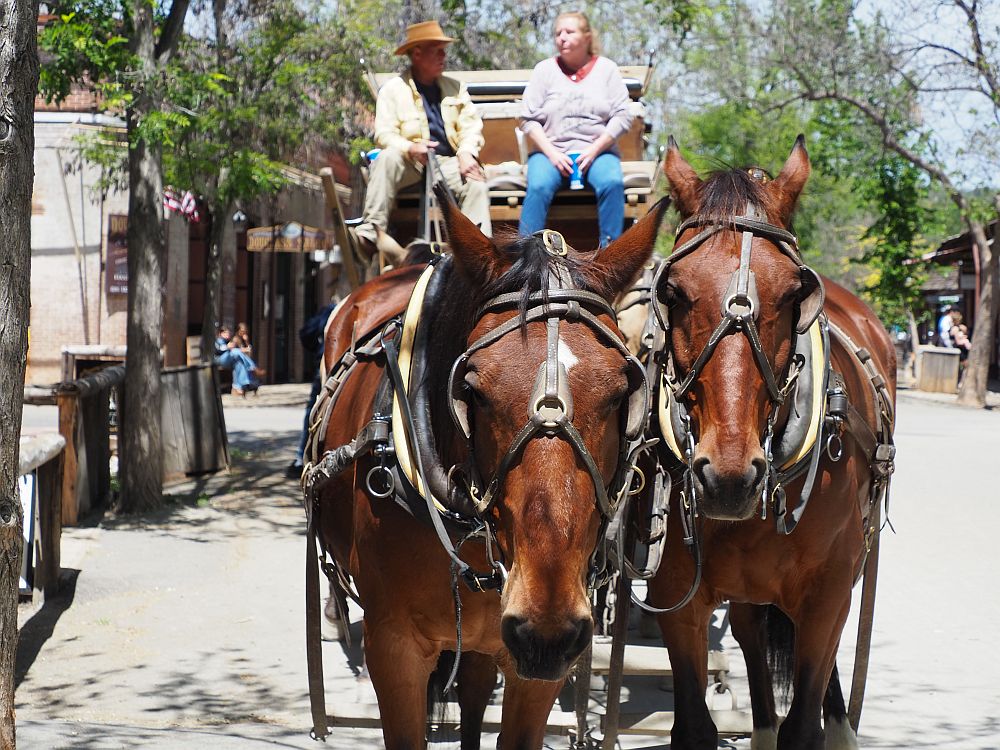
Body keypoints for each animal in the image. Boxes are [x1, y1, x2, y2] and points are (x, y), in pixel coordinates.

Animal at [310, 191, 672, 748]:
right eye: (473, 389)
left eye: (620, 392)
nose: (546, 630)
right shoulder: (393, 650)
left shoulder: (534, 665)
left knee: (476, 689)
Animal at [644, 138, 896, 748]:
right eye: (674, 292)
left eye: (792, 293)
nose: (728, 478)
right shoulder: (678, 602)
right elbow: (694, 725)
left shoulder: (827, 597)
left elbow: (804, 722)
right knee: (751, 633)